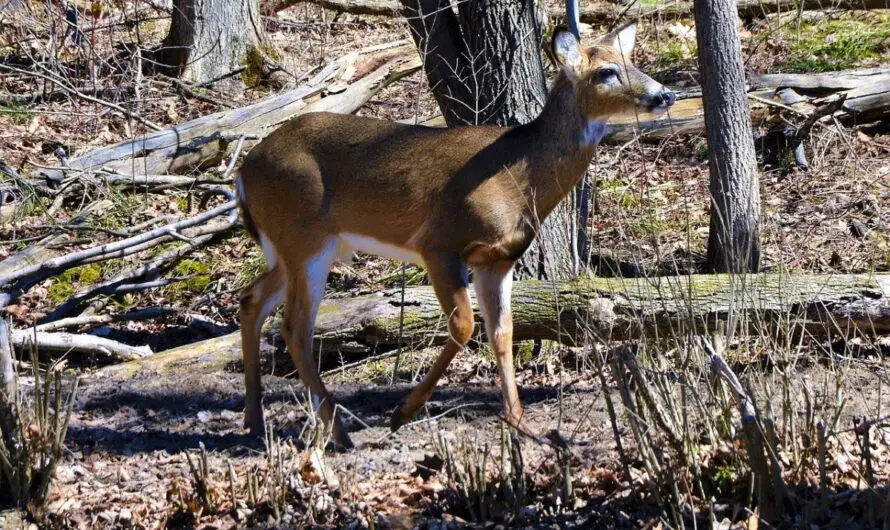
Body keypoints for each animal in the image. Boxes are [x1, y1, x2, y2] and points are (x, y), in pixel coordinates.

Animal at [232, 3, 676, 450]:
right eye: (606, 71)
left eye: (632, 62)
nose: (665, 94)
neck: (519, 178)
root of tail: (243, 169)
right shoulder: (439, 241)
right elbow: (464, 324)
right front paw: (402, 412)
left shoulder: (498, 260)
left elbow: (502, 331)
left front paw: (523, 424)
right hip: (306, 239)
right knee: (295, 327)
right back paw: (337, 431)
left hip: (295, 245)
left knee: (252, 299)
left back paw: (255, 420)